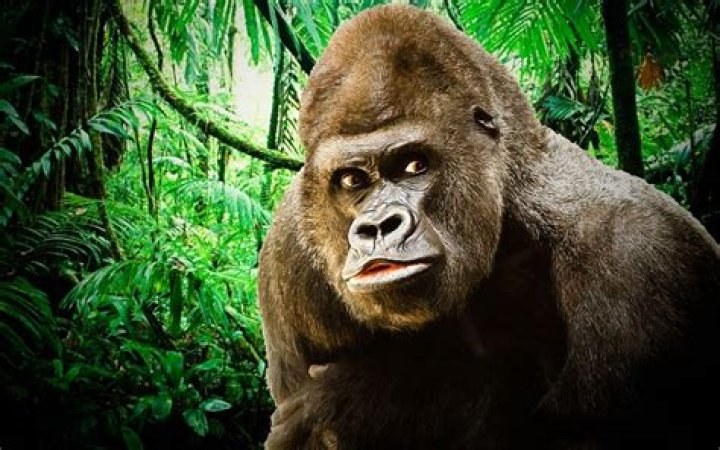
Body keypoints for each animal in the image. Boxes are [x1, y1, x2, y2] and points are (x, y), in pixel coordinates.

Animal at [258, 5, 720, 449]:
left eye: (414, 165)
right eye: (353, 180)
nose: (378, 227)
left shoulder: (639, 253)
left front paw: (364, 399)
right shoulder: (288, 250)